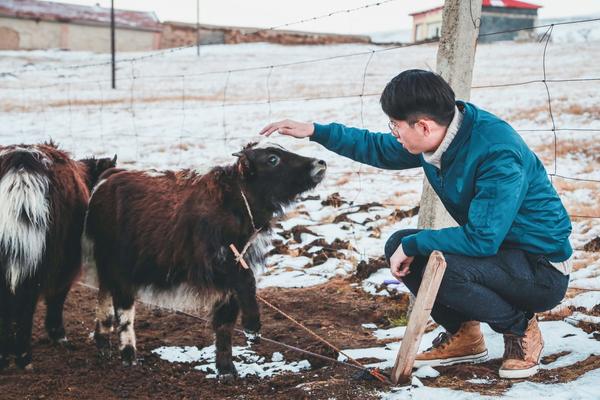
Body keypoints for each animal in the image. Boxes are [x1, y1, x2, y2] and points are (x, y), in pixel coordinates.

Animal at [0, 143, 116, 368]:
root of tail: (22, 164)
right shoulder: (65, 268)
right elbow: (57, 298)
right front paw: (58, 335)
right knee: (27, 303)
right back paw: (24, 357)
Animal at [85, 143, 326, 378]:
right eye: (272, 159)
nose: (320, 163)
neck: (235, 201)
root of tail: (105, 181)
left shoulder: (233, 274)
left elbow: (225, 323)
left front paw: (226, 369)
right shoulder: (215, 265)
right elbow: (246, 284)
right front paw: (252, 327)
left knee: (105, 294)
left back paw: (103, 342)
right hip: (118, 267)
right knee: (124, 309)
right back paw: (129, 356)